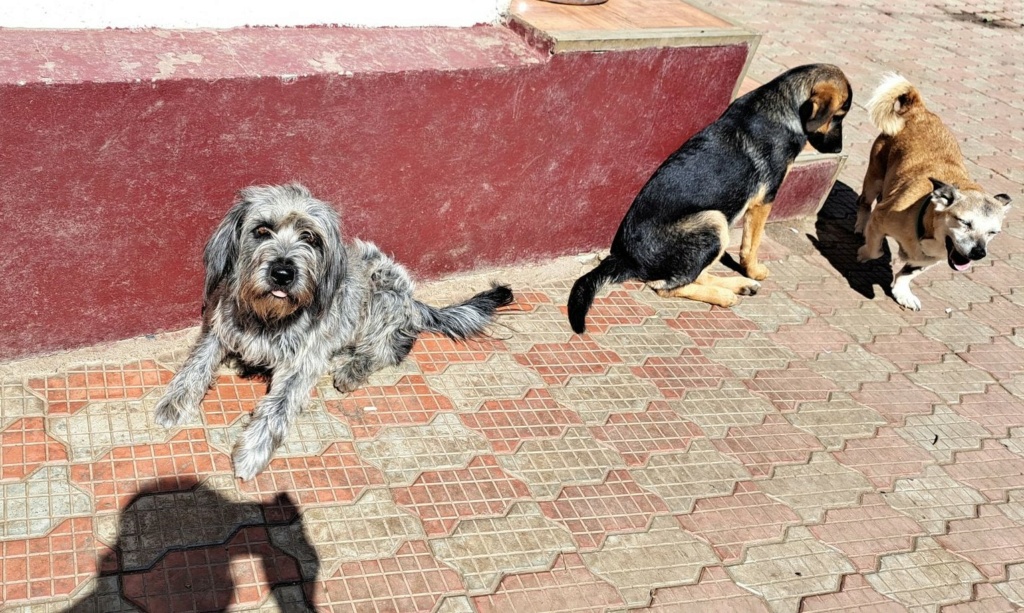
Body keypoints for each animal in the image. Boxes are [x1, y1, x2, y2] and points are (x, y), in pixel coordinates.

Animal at [152, 184, 516, 483]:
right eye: (261, 230)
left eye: (310, 238)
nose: (282, 272)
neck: (269, 317)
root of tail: (414, 303)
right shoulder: (220, 328)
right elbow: (197, 363)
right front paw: (174, 403)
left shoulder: (301, 363)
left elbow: (277, 409)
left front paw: (252, 452)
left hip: (384, 286)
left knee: (393, 346)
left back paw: (354, 366)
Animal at [573, 64, 851, 333]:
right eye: (838, 117)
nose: (839, 149)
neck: (782, 101)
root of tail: (627, 259)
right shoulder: (765, 199)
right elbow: (752, 244)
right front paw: (754, 270)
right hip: (714, 220)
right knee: (668, 287)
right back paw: (724, 295)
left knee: (693, 275)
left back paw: (738, 285)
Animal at [856, 73, 1007, 309]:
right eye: (964, 222)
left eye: (993, 233)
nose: (979, 252)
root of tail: (918, 110)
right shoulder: (880, 219)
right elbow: (875, 250)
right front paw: (864, 253)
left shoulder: (932, 259)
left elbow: (908, 273)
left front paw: (902, 292)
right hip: (874, 177)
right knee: (864, 202)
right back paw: (861, 226)